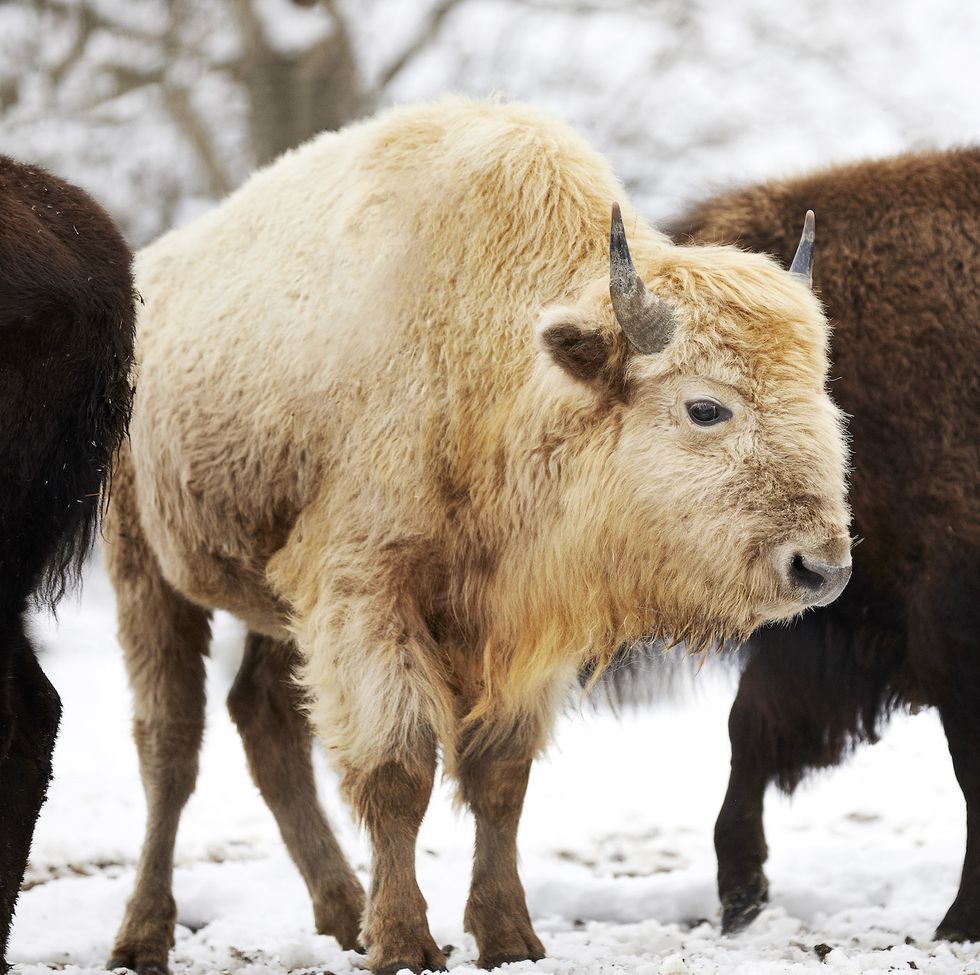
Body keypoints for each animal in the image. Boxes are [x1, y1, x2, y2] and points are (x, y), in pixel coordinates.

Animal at [105, 93, 848, 975]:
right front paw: (403, 942)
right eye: (706, 406)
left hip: (272, 608)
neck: (492, 357)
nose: (819, 565)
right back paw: (143, 935)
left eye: (822, 393)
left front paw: (509, 936)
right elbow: (397, 770)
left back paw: (340, 913)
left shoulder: (522, 622)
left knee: (264, 721)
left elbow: (500, 777)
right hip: (143, 569)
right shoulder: (366, 595)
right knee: (169, 746)